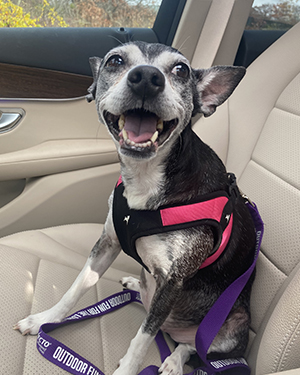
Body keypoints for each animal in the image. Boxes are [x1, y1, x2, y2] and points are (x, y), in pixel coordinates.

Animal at [14, 41, 255, 375]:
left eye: (181, 69)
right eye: (115, 60)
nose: (146, 78)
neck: (146, 178)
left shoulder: (172, 281)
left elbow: (143, 337)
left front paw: (128, 368)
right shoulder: (107, 243)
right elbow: (76, 288)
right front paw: (44, 320)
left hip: (233, 327)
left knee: (191, 346)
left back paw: (173, 361)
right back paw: (134, 284)